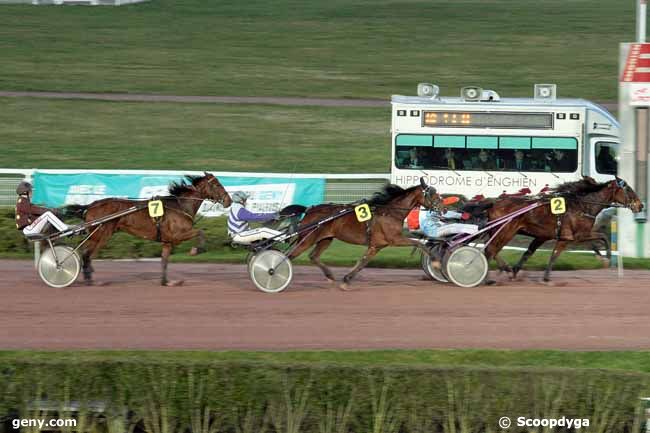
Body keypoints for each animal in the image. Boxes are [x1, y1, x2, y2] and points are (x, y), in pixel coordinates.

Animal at [68, 170, 229, 286]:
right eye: (217, 184)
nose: (229, 200)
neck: (180, 206)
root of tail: (90, 206)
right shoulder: (177, 236)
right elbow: (200, 232)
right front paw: (196, 250)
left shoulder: (167, 241)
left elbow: (164, 261)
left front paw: (166, 282)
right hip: (102, 235)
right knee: (89, 255)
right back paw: (92, 279)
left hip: (94, 236)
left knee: (84, 253)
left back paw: (87, 277)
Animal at [288, 176, 436, 290]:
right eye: (433, 194)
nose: (441, 207)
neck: (390, 213)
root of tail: (310, 209)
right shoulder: (395, 239)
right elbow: (419, 244)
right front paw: (435, 262)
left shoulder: (376, 246)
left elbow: (362, 263)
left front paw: (346, 280)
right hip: (308, 238)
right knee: (290, 256)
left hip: (326, 239)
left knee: (313, 256)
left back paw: (329, 275)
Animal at [484, 177, 640, 282]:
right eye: (629, 189)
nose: (641, 205)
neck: (582, 206)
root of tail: (493, 203)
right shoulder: (576, 236)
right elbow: (603, 236)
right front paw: (606, 257)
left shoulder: (547, 236)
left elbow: (531, 253)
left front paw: (517, 272)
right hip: (506, 231)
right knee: (491, 249)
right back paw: (492, 276)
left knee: (491, 250)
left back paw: (500, 271)